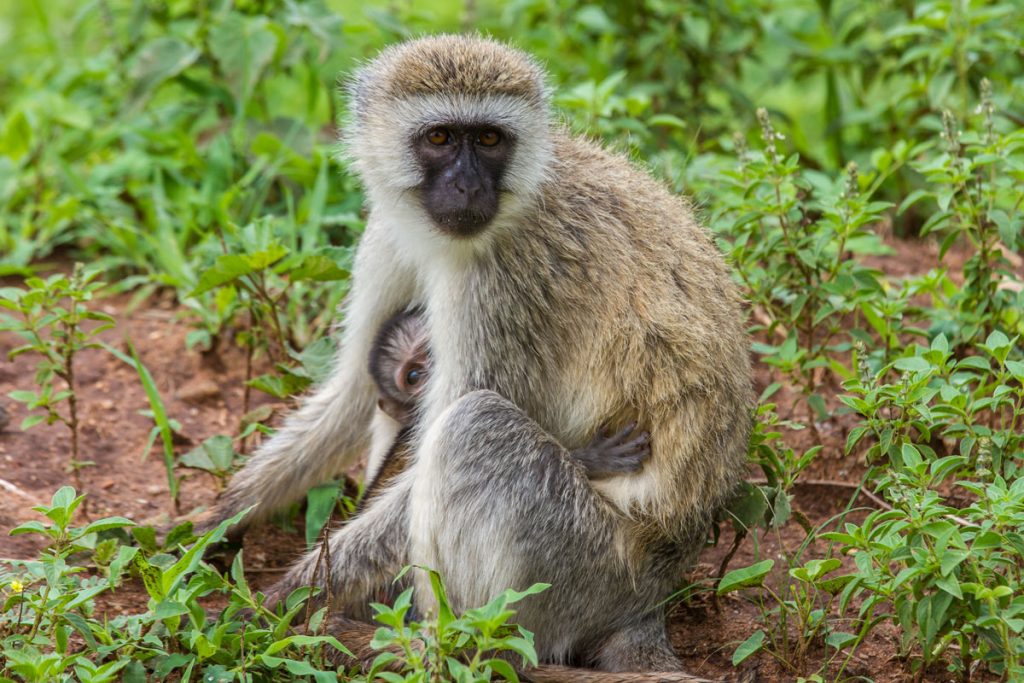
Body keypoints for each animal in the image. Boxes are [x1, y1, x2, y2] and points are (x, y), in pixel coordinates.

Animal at [209, 33, 753, 679]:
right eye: (441, 138)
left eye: (490, 139)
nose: (469, 187)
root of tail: (652, 596)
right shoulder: (387, 232)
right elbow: (352, 394)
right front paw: (209, 524)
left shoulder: (503, 281)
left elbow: (433, 447)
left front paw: (279, 602)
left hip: (586, 568)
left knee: (473, 426)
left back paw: (450, 648)